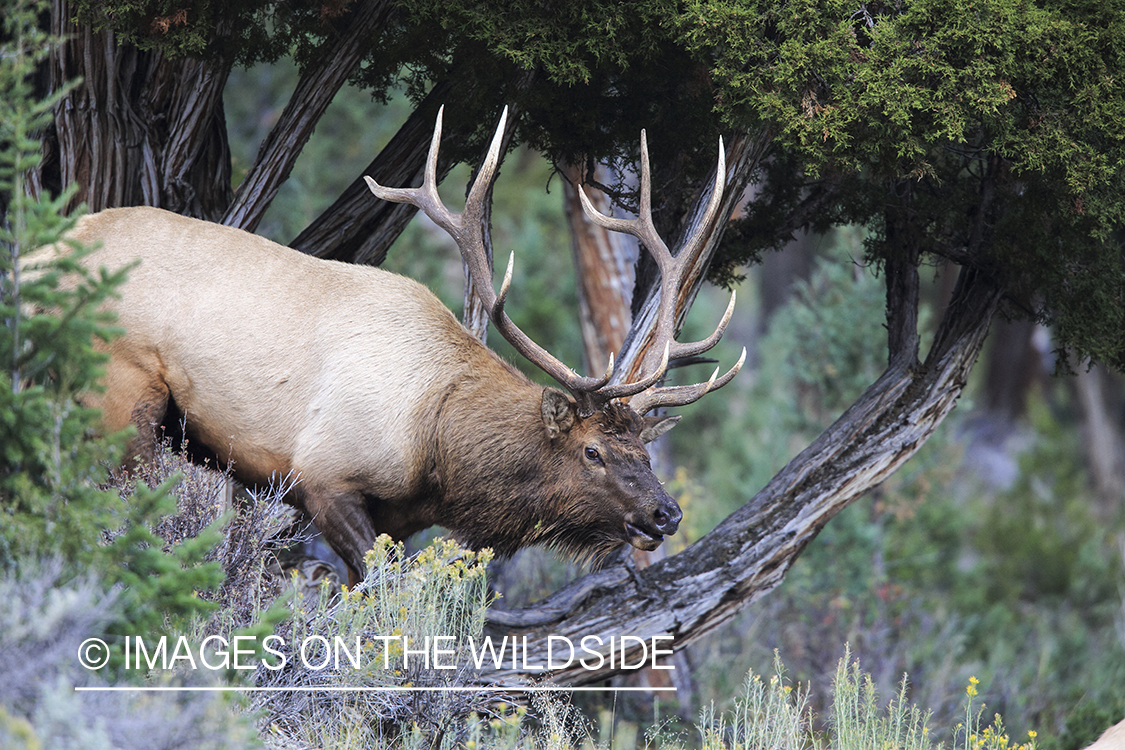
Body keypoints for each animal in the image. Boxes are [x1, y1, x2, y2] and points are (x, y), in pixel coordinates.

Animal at [50, 105, 738, 584]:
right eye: (593, 451)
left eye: (644, 452)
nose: (667, 514)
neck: (435, 448)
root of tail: (45, 253)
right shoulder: (323, 475)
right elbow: (381, 591)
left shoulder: (401, 518)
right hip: (121, 397)